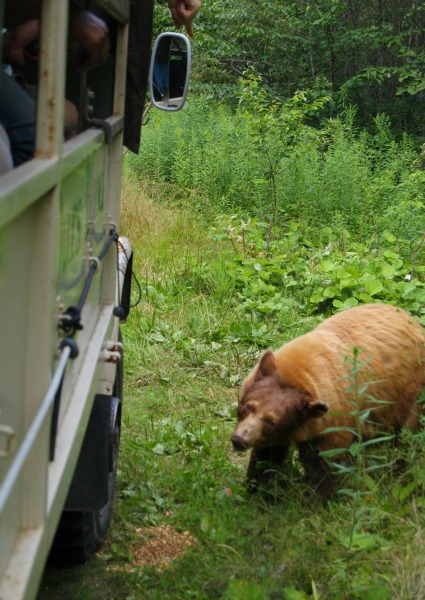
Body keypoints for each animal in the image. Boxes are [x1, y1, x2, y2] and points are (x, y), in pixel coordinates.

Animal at [232, 302, 424, 494]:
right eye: (248, 406)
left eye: (272, 421)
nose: (240, 440)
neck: (300, 376)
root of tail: (414, 322)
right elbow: (268, 455)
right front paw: (254, 487)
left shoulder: (334, 422)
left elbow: (323, 464)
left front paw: (317, 495)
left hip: (411, 393)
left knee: (406, 436)